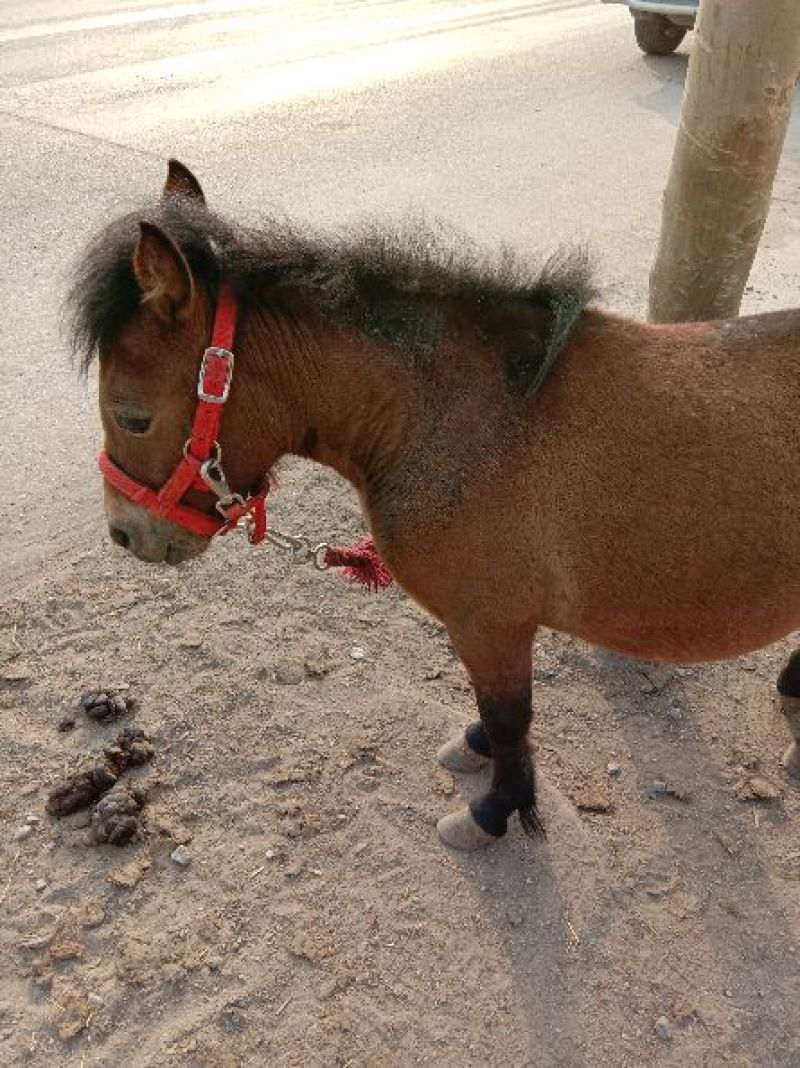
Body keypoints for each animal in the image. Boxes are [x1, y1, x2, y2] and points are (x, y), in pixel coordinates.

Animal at [69, 160, 800, 852]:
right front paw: (477, 751)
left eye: (132, 417)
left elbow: (511, 719)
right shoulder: (489, 628)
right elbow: (494, 714)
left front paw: (495, 810)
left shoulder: (490, 621)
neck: (461, 419)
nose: (126, 532)